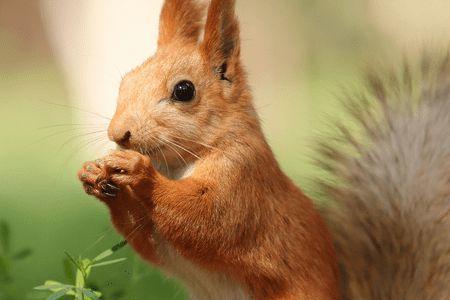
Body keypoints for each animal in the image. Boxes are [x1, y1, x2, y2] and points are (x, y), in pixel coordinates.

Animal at [78, 0, 450, 300]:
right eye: (126, 81)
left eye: (184, 90)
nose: (118, 133)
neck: (178, 165)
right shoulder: (160, 235)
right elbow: (146, 239)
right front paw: (94, 176)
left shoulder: (243, 181)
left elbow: (207, 220)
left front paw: (140, 173)